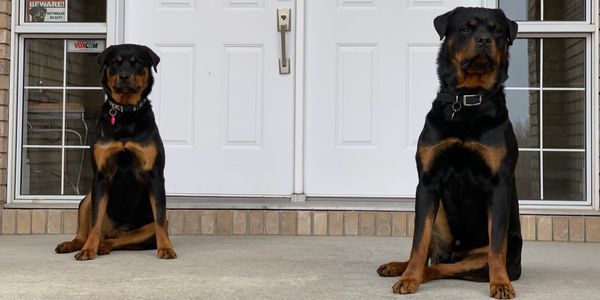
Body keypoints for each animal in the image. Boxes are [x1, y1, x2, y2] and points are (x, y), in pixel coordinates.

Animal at [54, 44, 176, 260]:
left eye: (137, 63)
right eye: (114, 63)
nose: (124, 76)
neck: (125, 113)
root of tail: (114, 231)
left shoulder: (155, 175)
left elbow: (161, 218)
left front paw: (166, 248)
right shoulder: (101, 176)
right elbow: (95, 220)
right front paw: (88, 249)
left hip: (143, 229)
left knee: (123, 239)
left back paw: (104, 245)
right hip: (87, 198)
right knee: (85, 231)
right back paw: (75, 244)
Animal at [380, 7, 520, 300]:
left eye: (496, 31)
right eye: (465, 29)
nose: (484, 40)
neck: (467, 101)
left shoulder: (499, 183)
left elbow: (496, 246)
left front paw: (501, 284)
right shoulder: (427, 182)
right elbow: (418, 241)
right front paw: (409, 277)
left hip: (477, 257)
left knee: (447, 266)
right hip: (440, 214)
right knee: (432, 255)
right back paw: (399, 268)